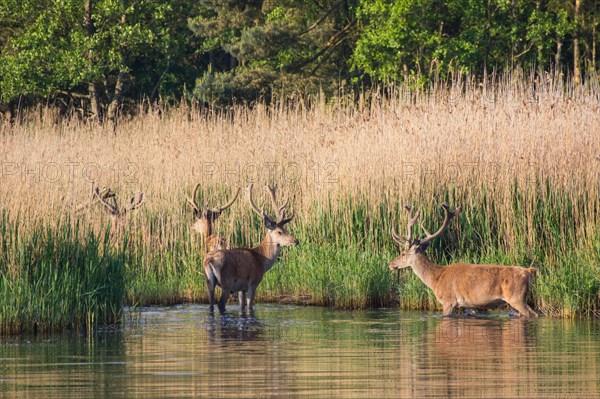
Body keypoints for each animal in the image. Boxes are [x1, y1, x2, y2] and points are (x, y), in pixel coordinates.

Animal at [204, 185, 300, 316]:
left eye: (286, 229)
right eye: (279, 232)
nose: (296, 240)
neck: (261, 260)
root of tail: (209, 260)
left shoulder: (241, 288)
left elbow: (242, 307)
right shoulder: (253, 282)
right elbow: (250, 307)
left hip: (209, 282)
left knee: (210, 305)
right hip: (227, 282)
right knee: (220, 304)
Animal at [390, 205, 540, 318]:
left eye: (403, 253)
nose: (390, 264)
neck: (435, 279)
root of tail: (528, 272)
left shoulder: (448, 300)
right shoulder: (470, 305)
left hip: (517, 297)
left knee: (533, 314)